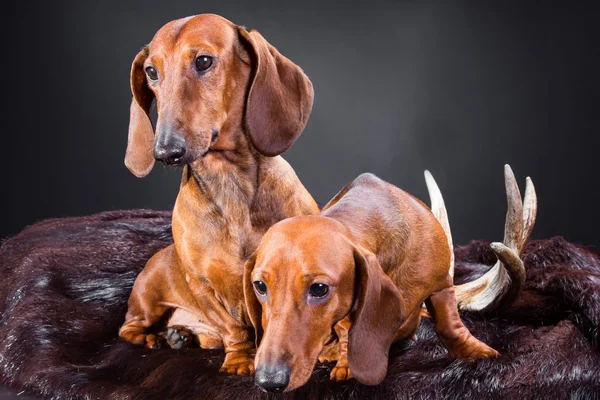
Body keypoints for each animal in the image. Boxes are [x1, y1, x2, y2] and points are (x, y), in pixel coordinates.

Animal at [118, 13, 324, 376]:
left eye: (203, 61)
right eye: (151, 71)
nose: (165, 151)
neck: (229, 182)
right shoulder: (201, 283)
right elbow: (233, 328)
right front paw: (241, 359)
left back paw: (180, 335)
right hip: (146, 300)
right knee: (128, 328)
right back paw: (156, 338)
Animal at [246, 166, 536, 390]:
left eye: (318, 289)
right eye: (260, 286)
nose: (268, 381)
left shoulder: (442, 283)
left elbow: (449, 325)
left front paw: (480, 352)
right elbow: (345, 329)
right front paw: (344, 361)